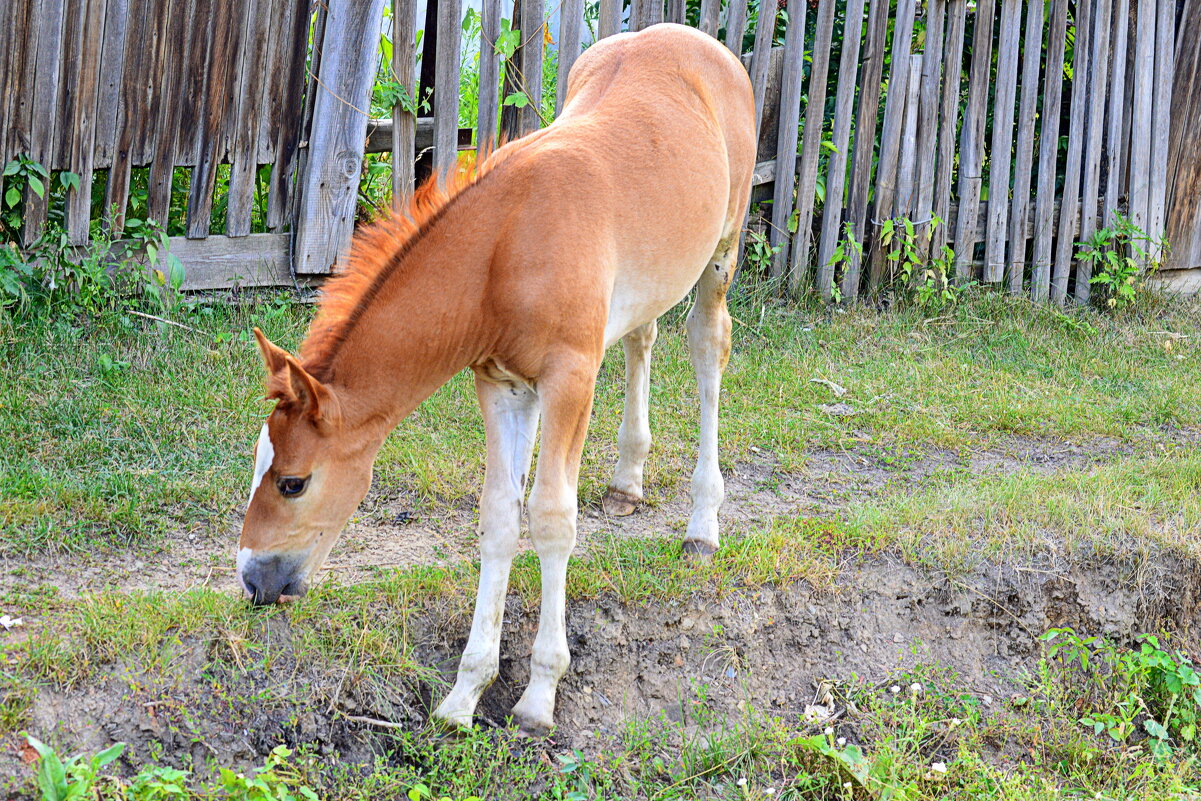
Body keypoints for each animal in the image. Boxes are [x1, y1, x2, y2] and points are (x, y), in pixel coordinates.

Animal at [238, 23, 754, 739]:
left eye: (292, 482)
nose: (252, 581)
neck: (505, 246)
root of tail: (695, 40)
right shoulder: (502, 385)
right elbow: (500, 518)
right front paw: (464, 694)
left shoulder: (569, 377)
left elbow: (553, 517)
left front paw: (538, 698)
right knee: (641, 337)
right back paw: (627, 482)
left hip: (721, 253)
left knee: (708, 349)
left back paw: (703, 525)